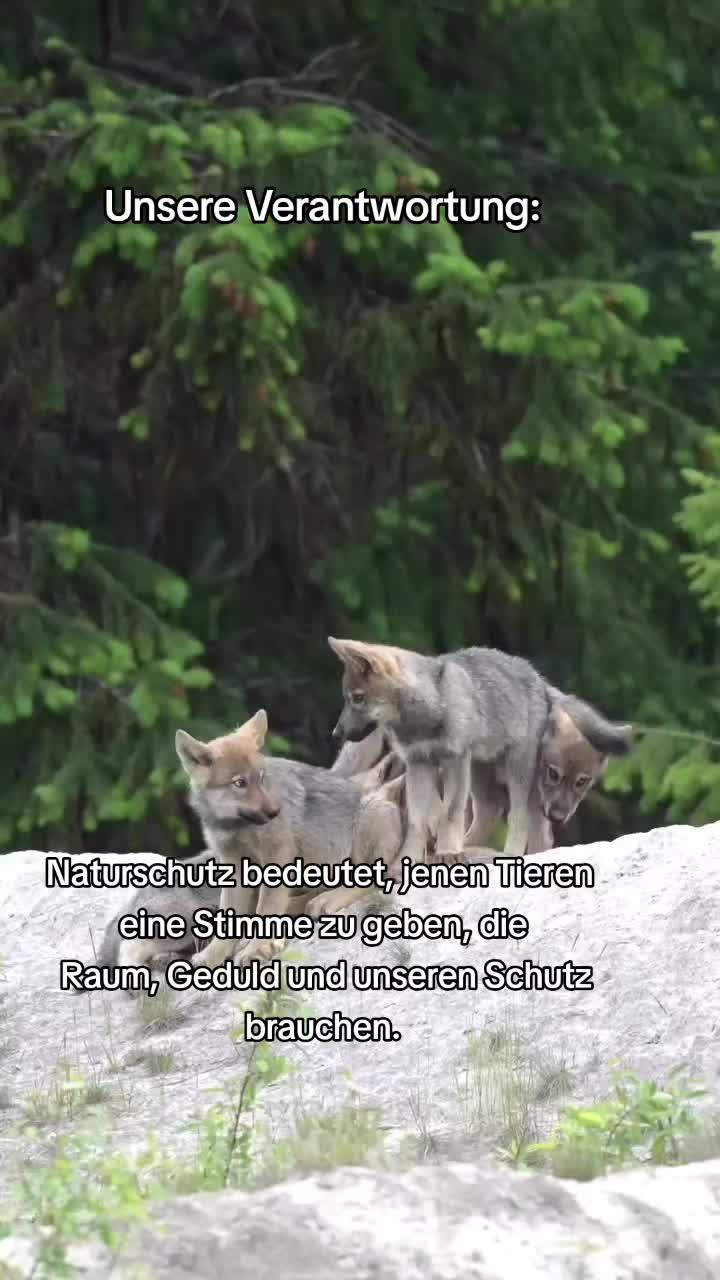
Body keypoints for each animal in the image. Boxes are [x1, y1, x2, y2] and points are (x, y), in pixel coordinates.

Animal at [98, 710, 404, 974]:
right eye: (239, 783)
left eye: (261, 778)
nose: (276, 811)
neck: (236, 828)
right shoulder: (234, 867)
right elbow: (232, 921)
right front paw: (215, 957)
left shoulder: (277, 858)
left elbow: (266, 910)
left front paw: (256, 949)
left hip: (373, 816)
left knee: (372, 879)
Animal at [329, 639, 632, 863]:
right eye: (347, 699)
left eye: (357, 699)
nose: (336, 734)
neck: (429, 709)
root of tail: (538, 679)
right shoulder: (419, 763)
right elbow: (417, 822)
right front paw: (408, 861)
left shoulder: (455, 759)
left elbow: (449, 813)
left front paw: (447, 852)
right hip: (480, 773)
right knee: (491, 814)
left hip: (516, 774)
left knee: (520, 820)